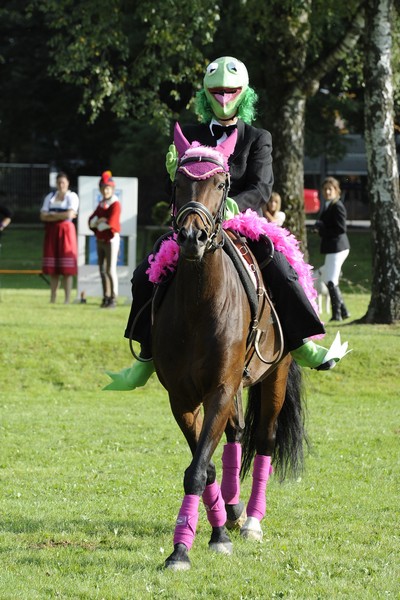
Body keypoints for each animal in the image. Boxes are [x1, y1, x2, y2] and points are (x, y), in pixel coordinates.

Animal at [151, 123, 306, 572]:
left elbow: (199, 467)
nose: (191, 237)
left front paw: (184, 547)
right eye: (178, 181)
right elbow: (203, 468)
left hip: (274, 376)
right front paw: (213, 532)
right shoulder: (182, 398)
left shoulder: (219, 390)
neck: (198, 305)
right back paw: (234, 513)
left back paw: (252, 520)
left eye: (221, 183)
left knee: (265, 439)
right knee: (236, 435)